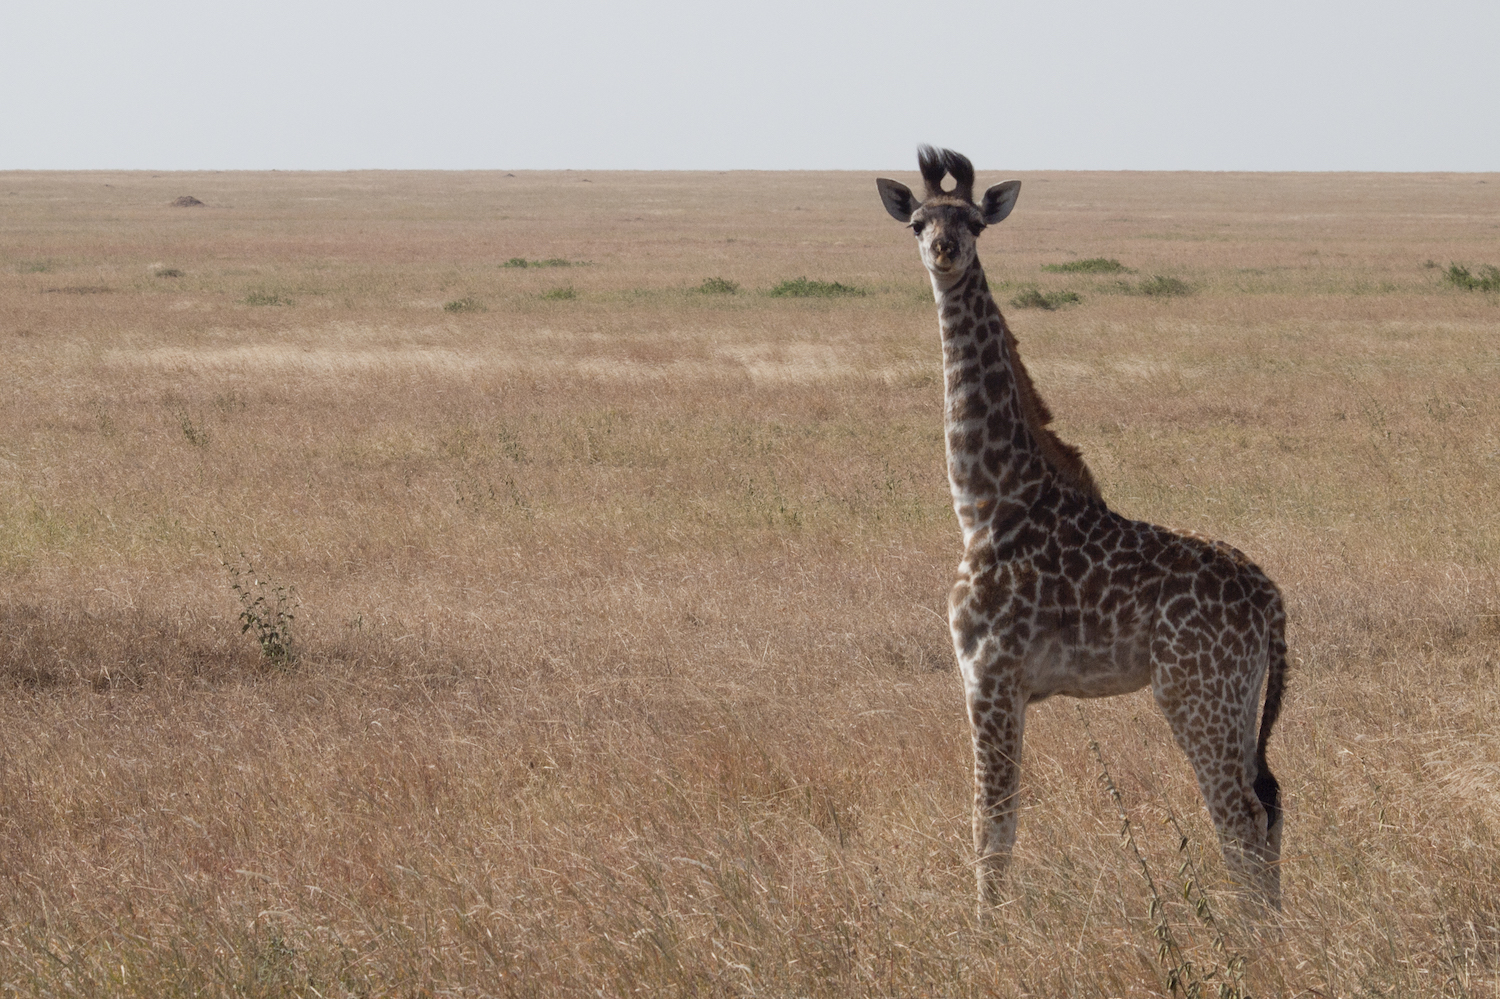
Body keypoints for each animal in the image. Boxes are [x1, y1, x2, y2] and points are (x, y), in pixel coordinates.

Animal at [876, 146, 1290, 912]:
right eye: (918, 221)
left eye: (974, 221)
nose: (945, 251)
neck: (985, 502)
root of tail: (1275, 603)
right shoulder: (1005, 684)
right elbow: (999, 821)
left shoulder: (989, 674)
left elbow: (991, 823)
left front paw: (985, 932)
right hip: (1240, 696)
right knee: (1268, 806)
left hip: (1195, 693)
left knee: (1239, 817)